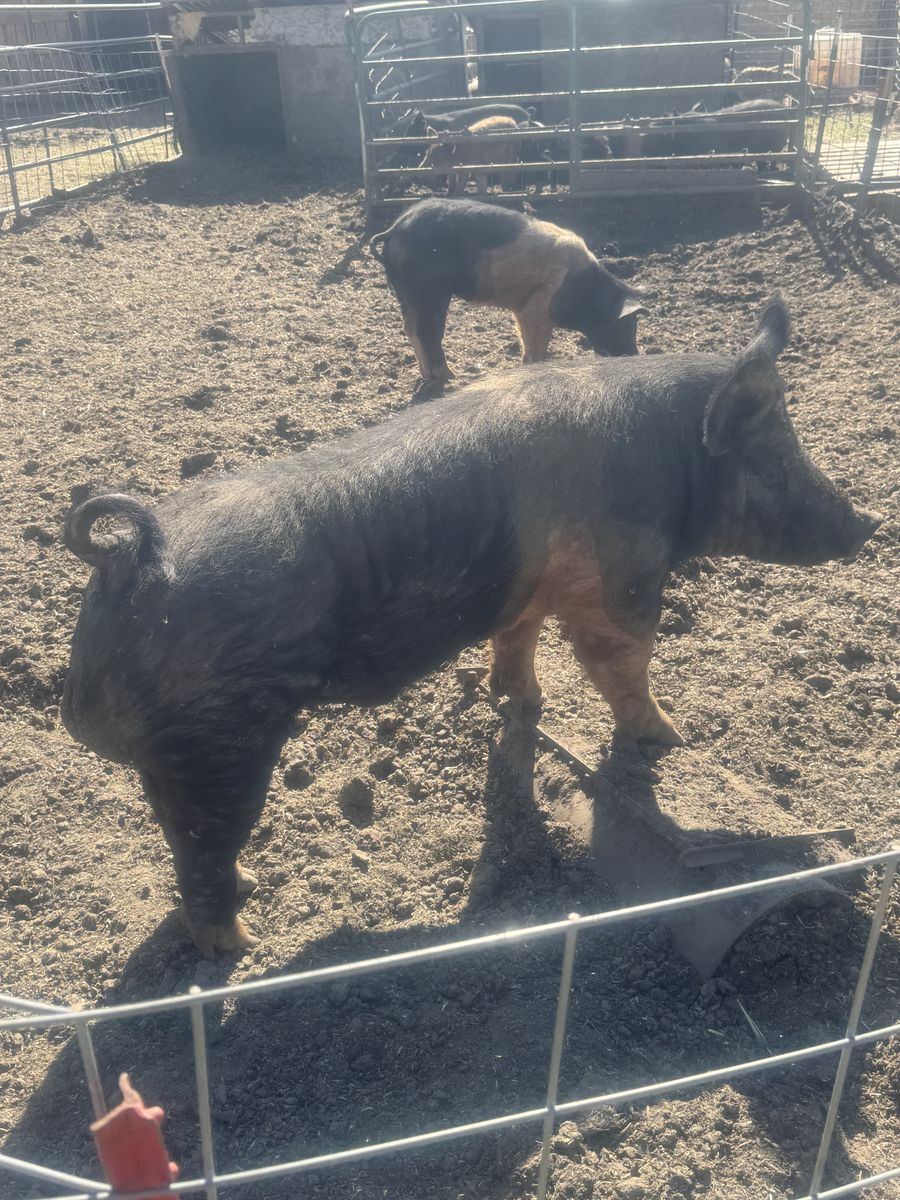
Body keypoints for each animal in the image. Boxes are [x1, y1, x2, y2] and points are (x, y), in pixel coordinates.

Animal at [61, 295, 881, 956]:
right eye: (774, 463)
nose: (869, 522)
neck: (671, 463)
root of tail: (136, 558)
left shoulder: (524, 592)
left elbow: (517, 641)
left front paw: (524, 704)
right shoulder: (619, 585)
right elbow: (622, 666)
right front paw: (671, 740)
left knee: (184, 847)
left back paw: (250, 901)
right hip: (217, 745)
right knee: (202, 853)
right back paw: (243, 945)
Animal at [370, 197, 648, 382]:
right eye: (626, 326)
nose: (634, 356)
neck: (585, 289)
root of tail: (396, 227)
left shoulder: (522, 308)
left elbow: (524, 340)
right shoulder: (539, 307)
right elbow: (537, 347)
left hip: (405, 292)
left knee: (410, 328)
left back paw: (430, 376)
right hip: (430, 291)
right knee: (428, 331)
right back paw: (450, 376)